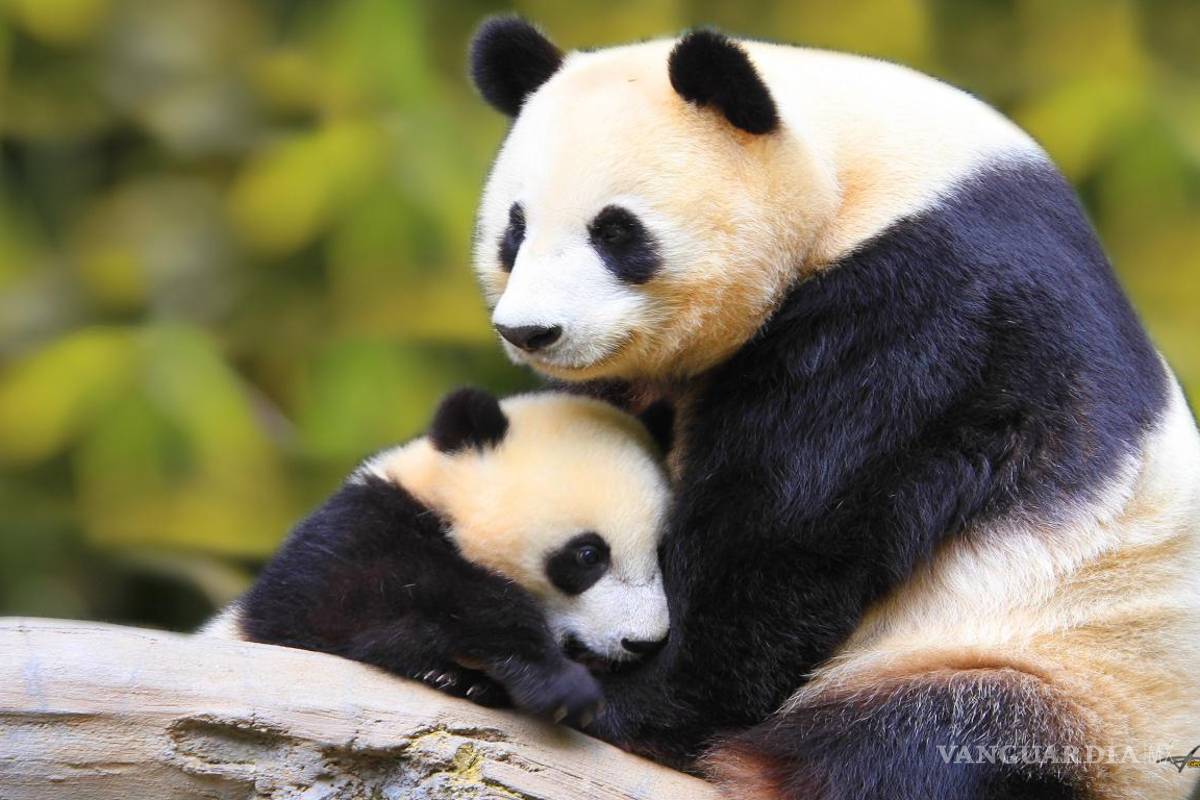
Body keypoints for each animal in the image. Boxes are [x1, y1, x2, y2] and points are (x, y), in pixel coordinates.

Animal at [202, 388, 672, 726]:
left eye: (660, 552)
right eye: (588, 555)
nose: (643, 642)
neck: (442, 503)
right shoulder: (352, 535)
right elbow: (349, 607)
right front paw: (557, 684)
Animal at [467, 17, 1200, 800]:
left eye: (616, 232)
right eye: (515, 229)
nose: (531, 331)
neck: (854, 175)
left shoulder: (928, 307)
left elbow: (786, 531)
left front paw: (611, 695)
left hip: (1065, 670)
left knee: (932, 742)